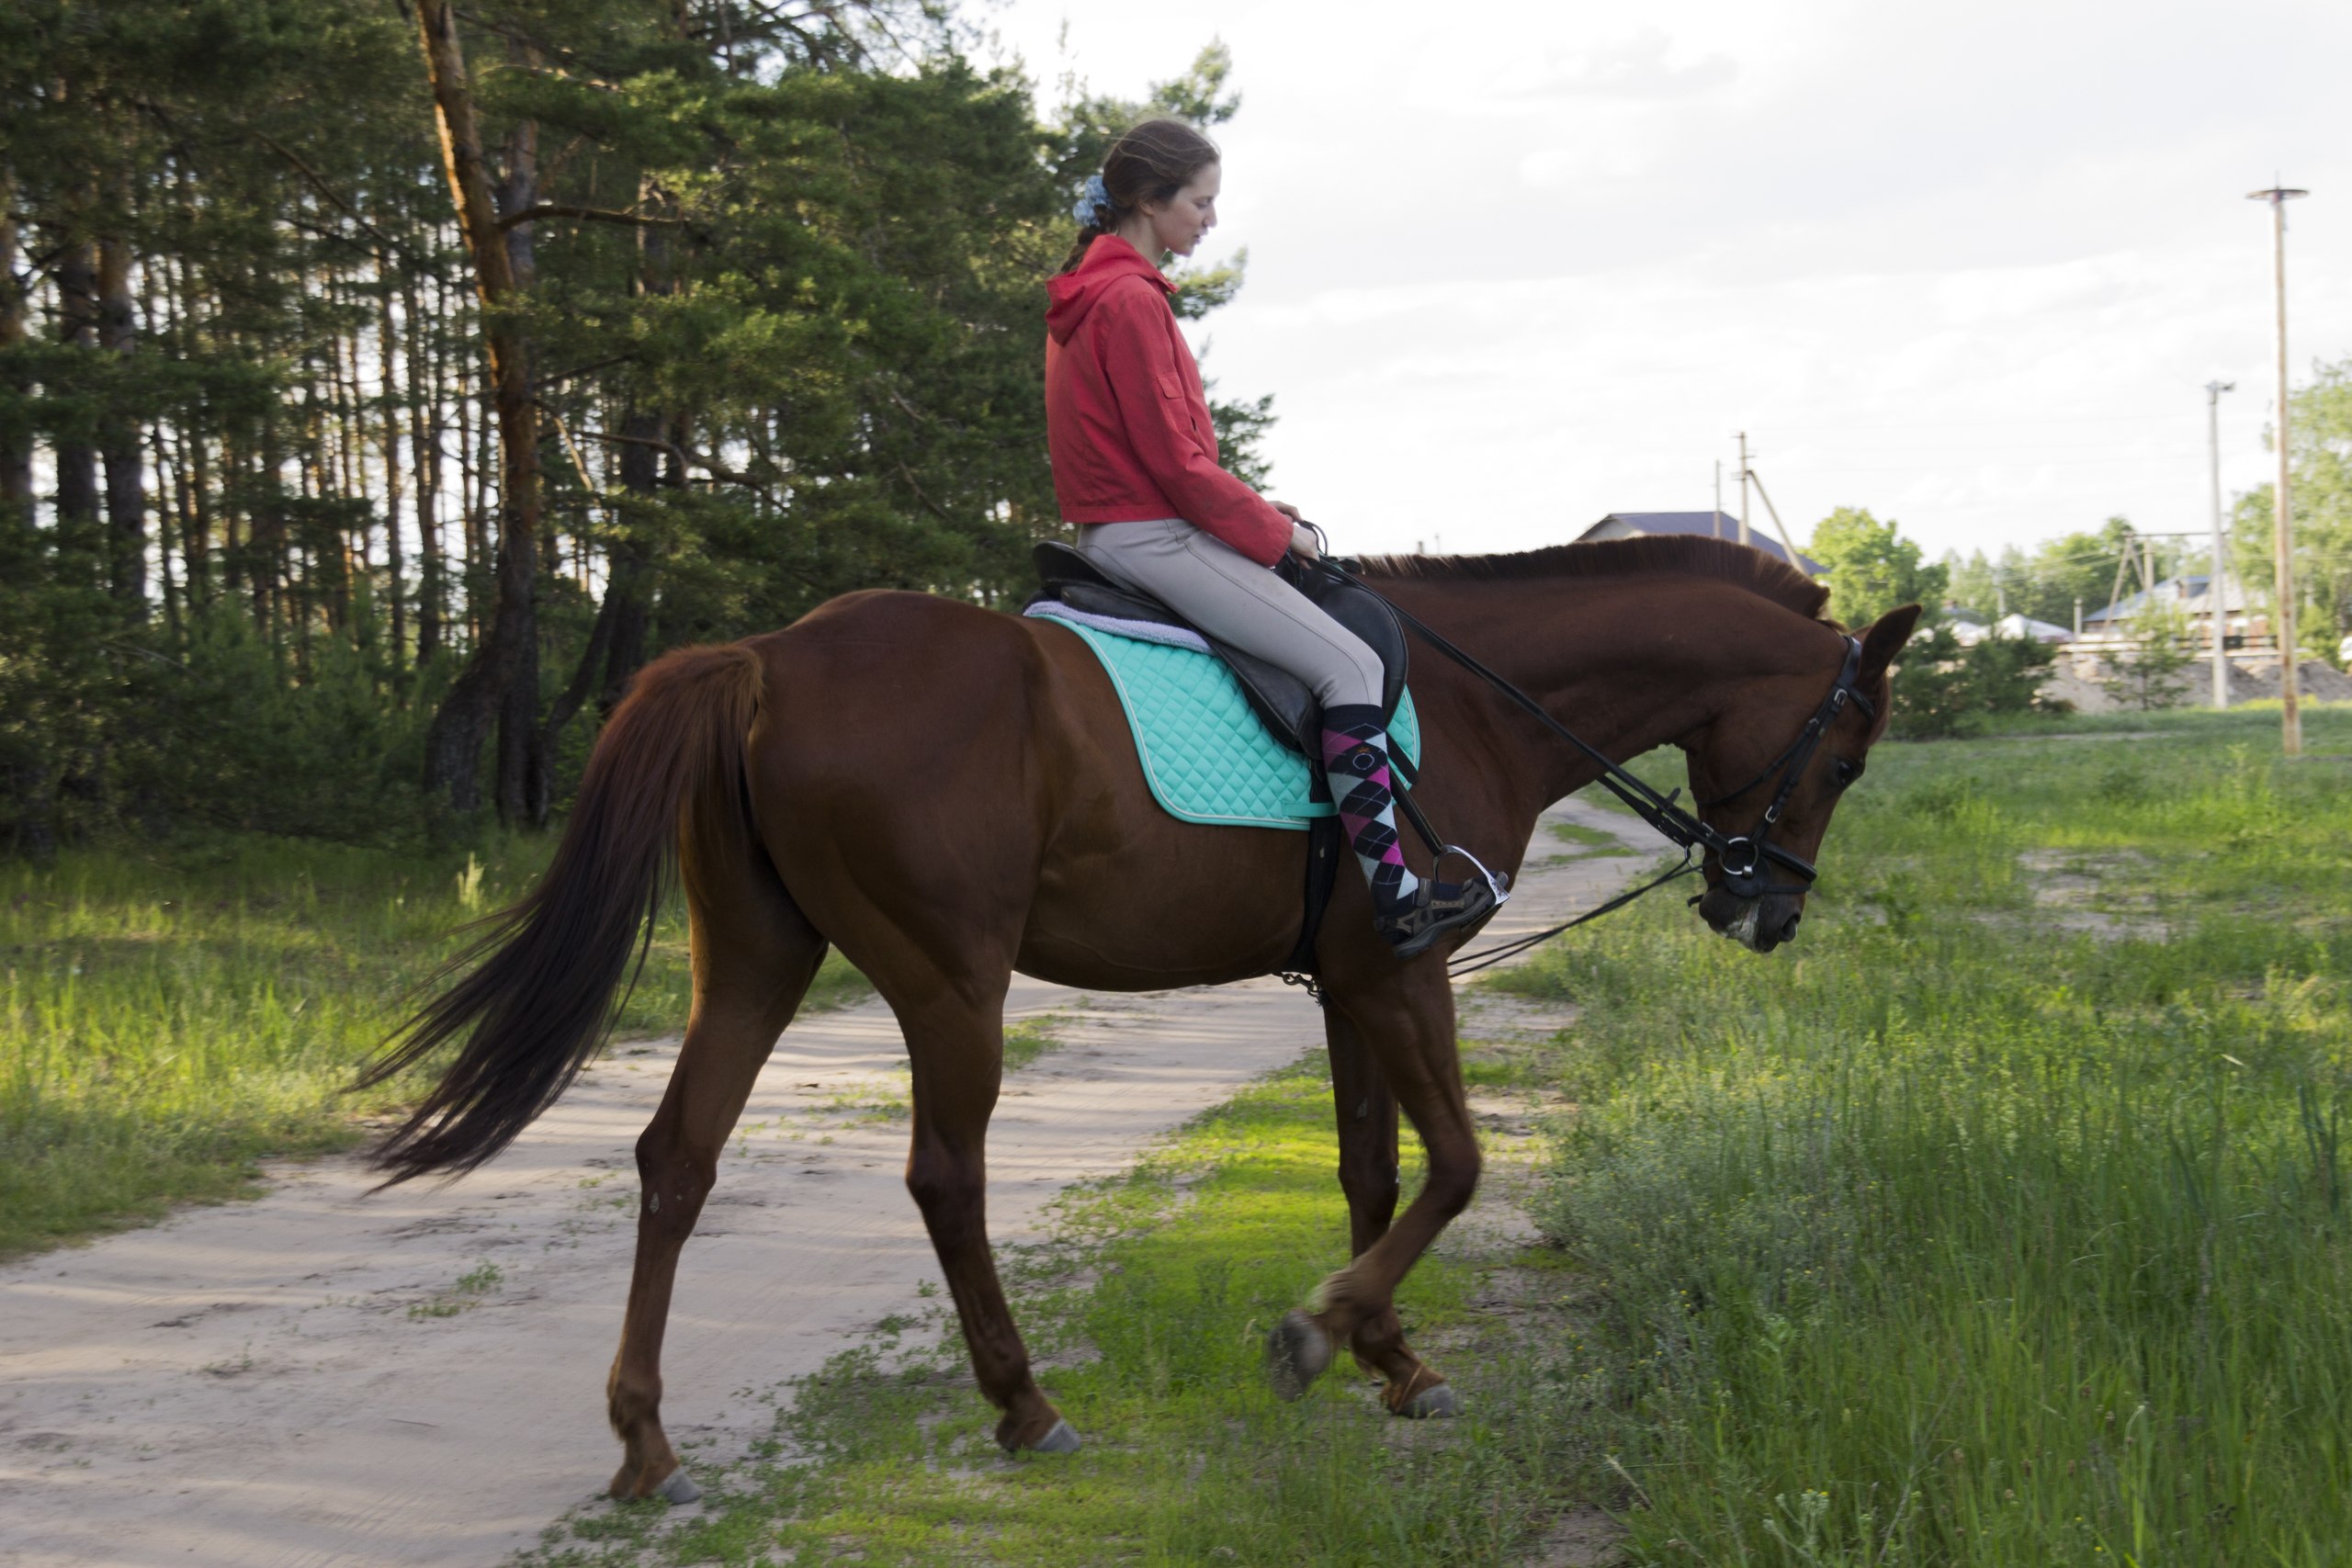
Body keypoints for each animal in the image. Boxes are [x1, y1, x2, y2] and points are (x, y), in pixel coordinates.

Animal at [357, 536, 1918, 1495]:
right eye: (1845, 753)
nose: (1768, 911)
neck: (1479, 699)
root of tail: (769, 657)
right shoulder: (1404, 969)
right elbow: (1464, 1162)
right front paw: (1321, 1331)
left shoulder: (1352, 981)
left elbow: (1373, 1165)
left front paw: (1389, 1356)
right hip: (952, 980)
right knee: (945, 1175)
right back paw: (1023, 1402)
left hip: (754, 958)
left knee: (677, 1157)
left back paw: (645, 1439)